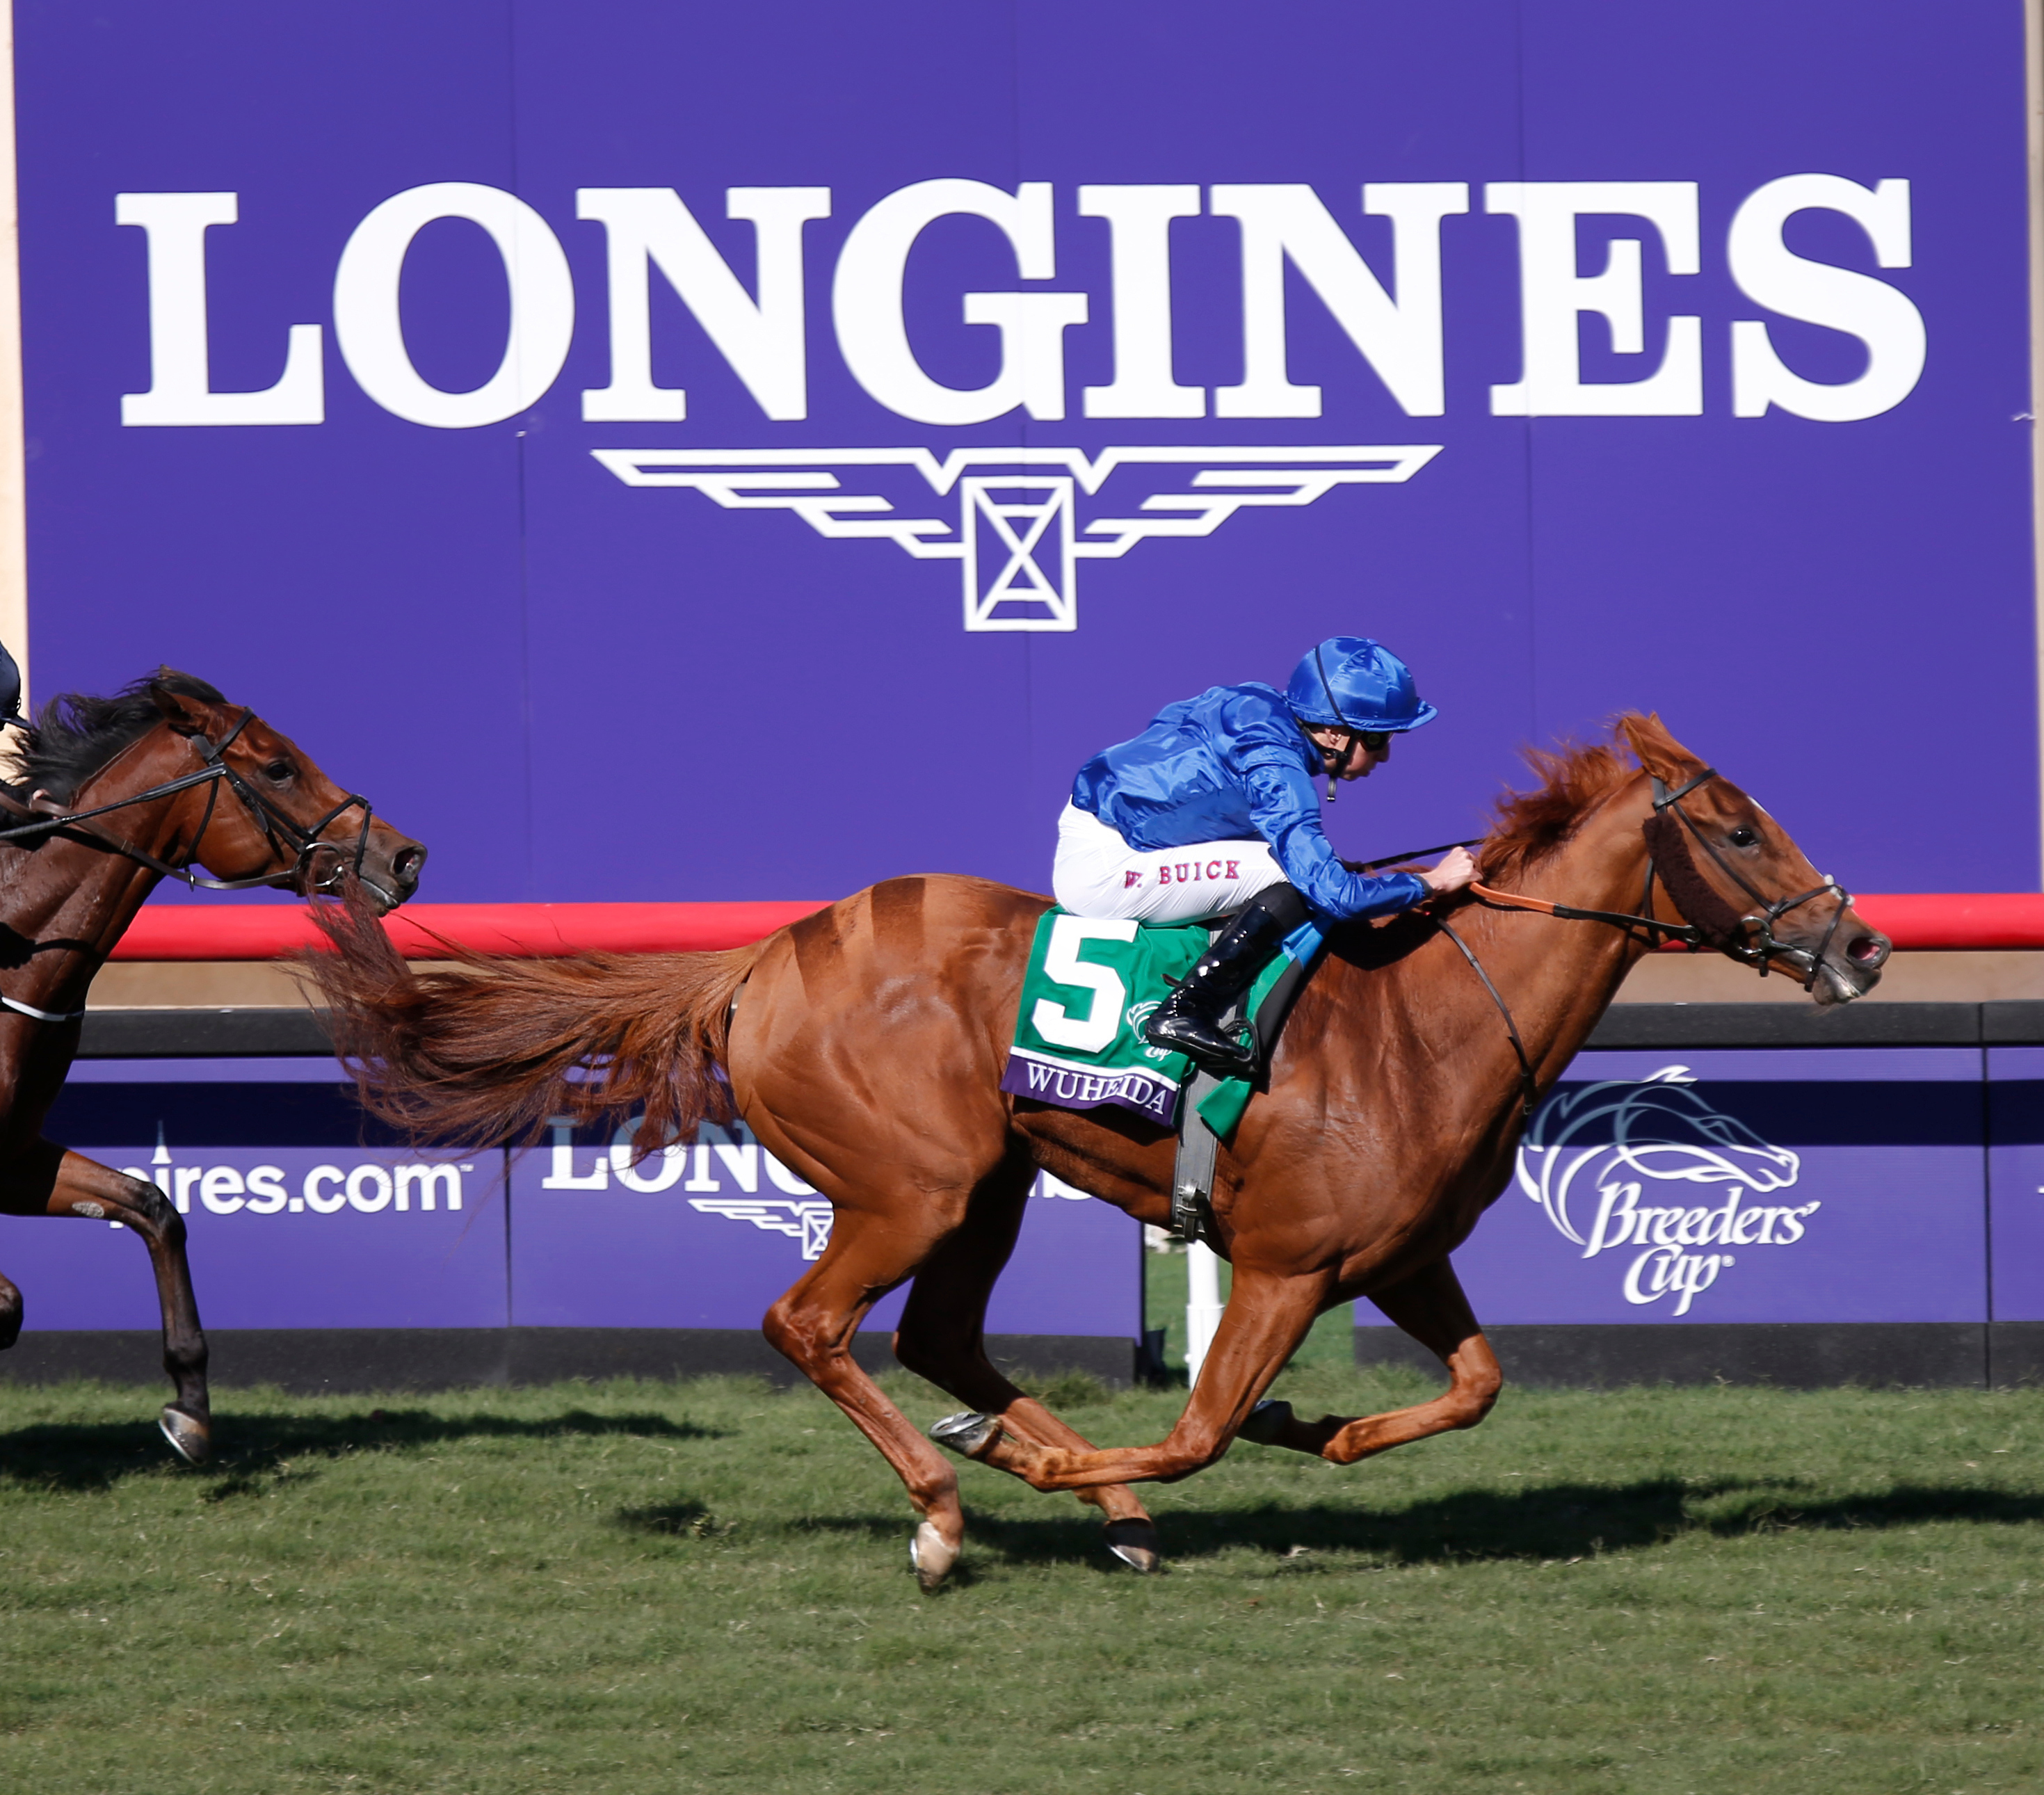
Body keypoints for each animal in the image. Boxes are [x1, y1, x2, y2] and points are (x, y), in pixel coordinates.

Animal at [0, 675, 423, 1463]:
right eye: (279, 767)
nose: (406, 857)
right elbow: (9, 1295)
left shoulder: (13, 1156)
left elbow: (153, 1208)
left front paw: (190, 1406)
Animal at [310, 715, 1888, 1586]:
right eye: (1734, 829)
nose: (1860, 946)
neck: (1431, 1011)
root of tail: (762, 958)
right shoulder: (1283, 1263)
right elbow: (1197, 1428)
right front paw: (1101, 1460)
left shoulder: (1396, 1256)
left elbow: (1472, 1387)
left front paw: (1312, 1428)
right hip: (911, 1184)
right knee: (811, 1324)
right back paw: (953, 1505)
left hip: (988, 1185)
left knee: (938, 1337)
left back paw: (1077, 1492)